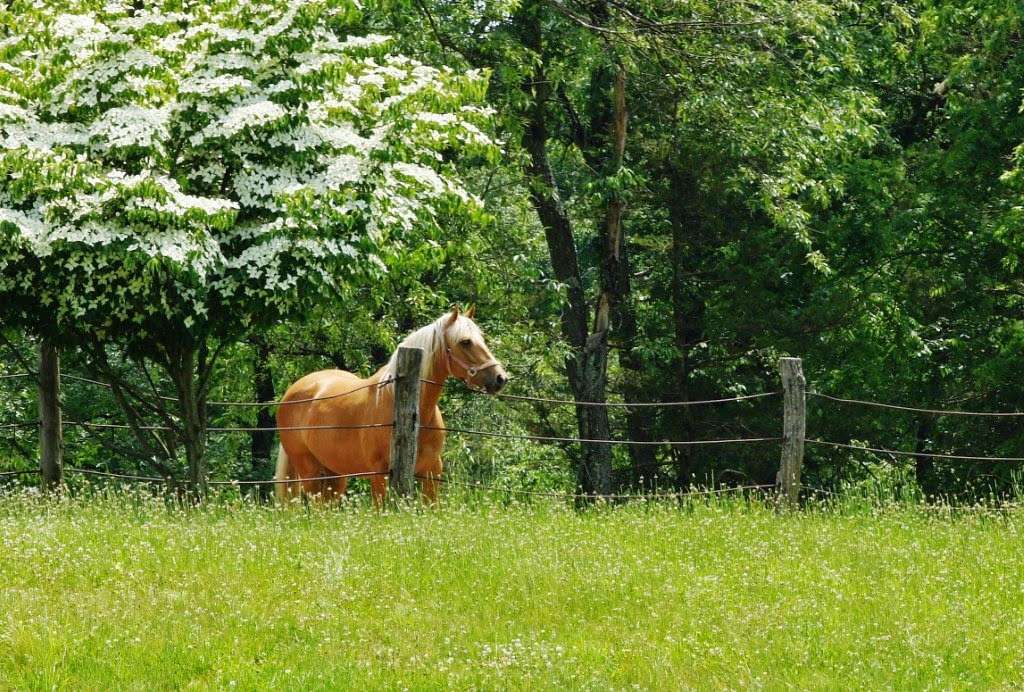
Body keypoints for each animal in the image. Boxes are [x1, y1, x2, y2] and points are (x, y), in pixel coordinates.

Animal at [276, 309, 507, 503]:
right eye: (465, 342)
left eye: (482, 339)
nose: (500, 378)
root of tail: (294, 390)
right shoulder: (380, 474)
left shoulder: (432, 472)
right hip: (310, 472)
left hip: (335, 473)